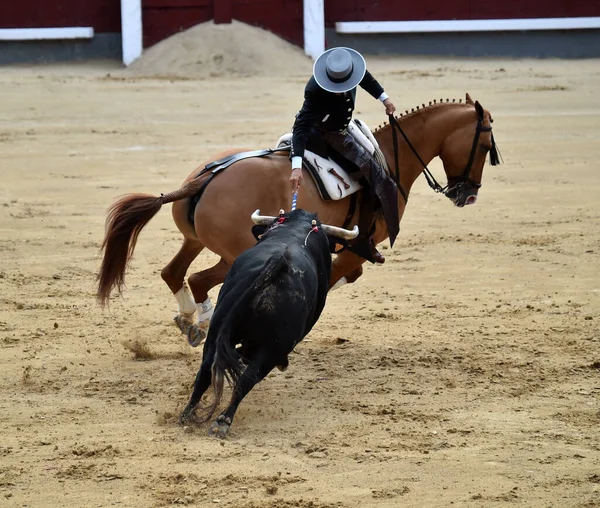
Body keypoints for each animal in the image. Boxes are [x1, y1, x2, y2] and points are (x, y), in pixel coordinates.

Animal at [96, 93, 500, 344]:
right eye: (484, 145)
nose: (468, 194)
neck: (387, 156)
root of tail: (204, 178)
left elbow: (348, 275)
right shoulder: (357, 246)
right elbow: (339, 276)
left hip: (194, 240)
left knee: (174, 272)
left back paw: (188, 321)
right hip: (235, 252)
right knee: (198, 278)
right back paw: (205, 323)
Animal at [178, 208, 356, 438]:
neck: (295, 228)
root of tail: (277, 263)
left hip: (216, 331)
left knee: (206, 370)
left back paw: (186, 415)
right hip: (273, 348)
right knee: (248, 378)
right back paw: (222, 422)